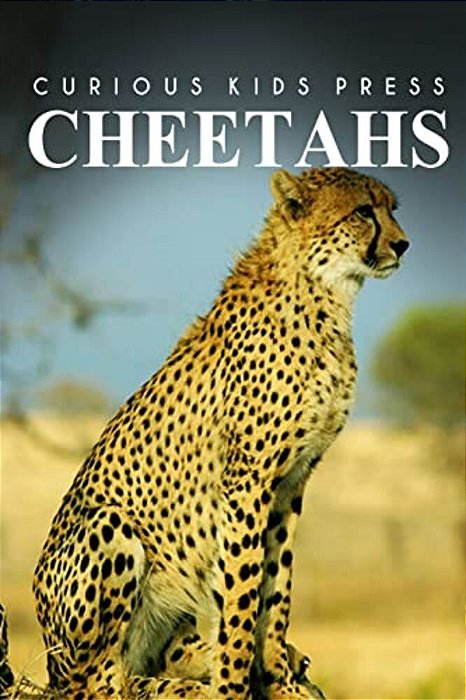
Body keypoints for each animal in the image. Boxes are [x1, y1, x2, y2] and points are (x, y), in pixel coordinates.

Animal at [33, 167, 409, 700]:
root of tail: (48, 666)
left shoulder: (290, 483)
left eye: (391, 208)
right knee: (106, 682)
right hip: (109, 528)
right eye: (362, 212)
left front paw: (277, 676)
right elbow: (242, 595)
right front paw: (233, 684)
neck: (323, 293)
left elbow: (276, 588)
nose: (402, 244)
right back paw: (190, 685)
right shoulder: (246, 482)